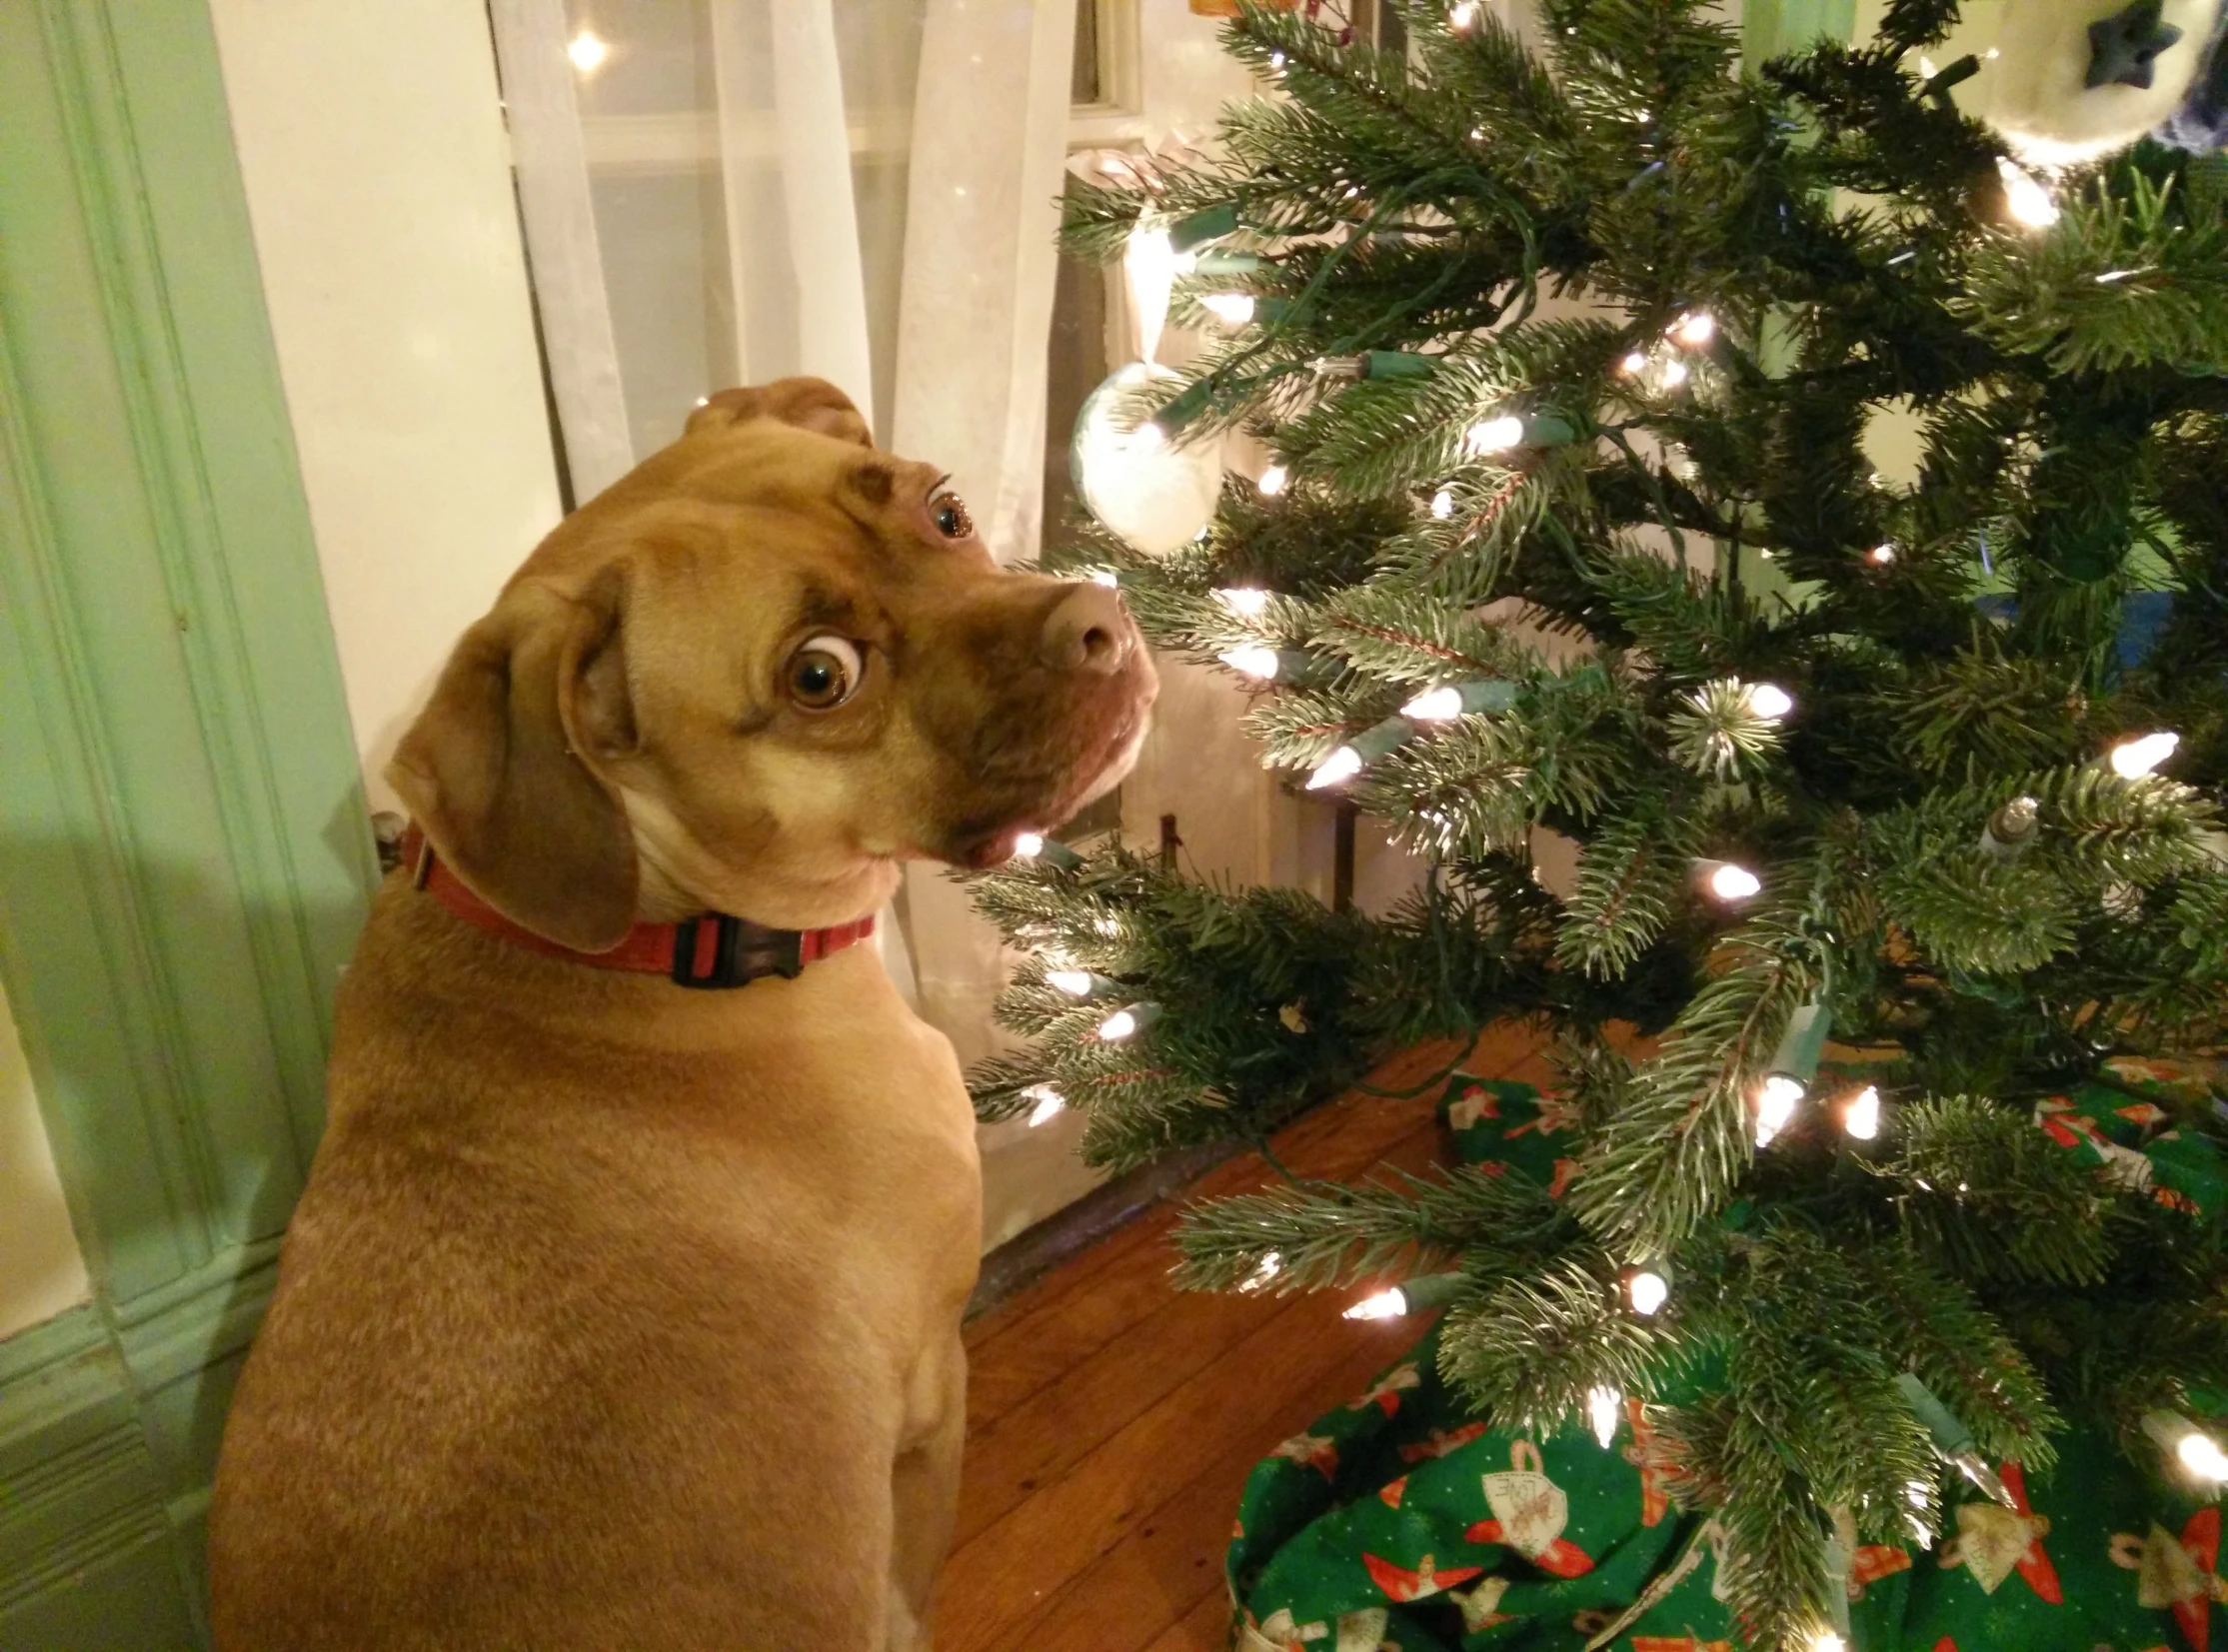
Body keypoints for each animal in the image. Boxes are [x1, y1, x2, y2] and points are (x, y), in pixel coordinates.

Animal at [209, 380, 1158, 1647]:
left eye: (946, 512)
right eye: (819, 676)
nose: (1100, 620)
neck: (659, 943)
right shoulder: (927, 1402)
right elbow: (912, 1602)